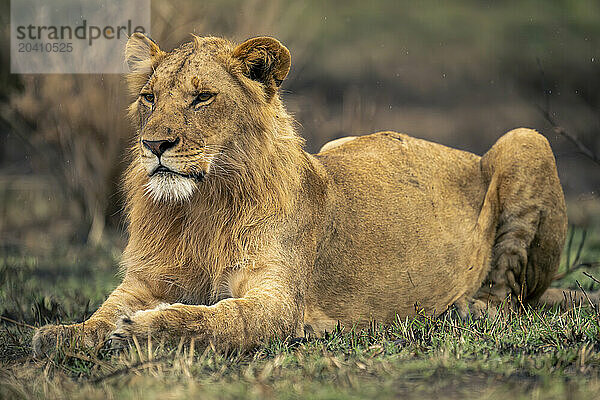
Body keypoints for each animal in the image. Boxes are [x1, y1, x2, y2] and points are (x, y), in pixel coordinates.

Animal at [32, 32, 576, 354]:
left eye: (202, 97)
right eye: (148, 98)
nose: (154, 145)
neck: (202, 206)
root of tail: (459, 152)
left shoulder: (279, 302)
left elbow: (216, 320)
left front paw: (146, 329)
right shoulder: (146, 279)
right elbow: (105, 310)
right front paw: (61, 333)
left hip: (526, 139)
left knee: (511, 295)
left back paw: (467, 308)